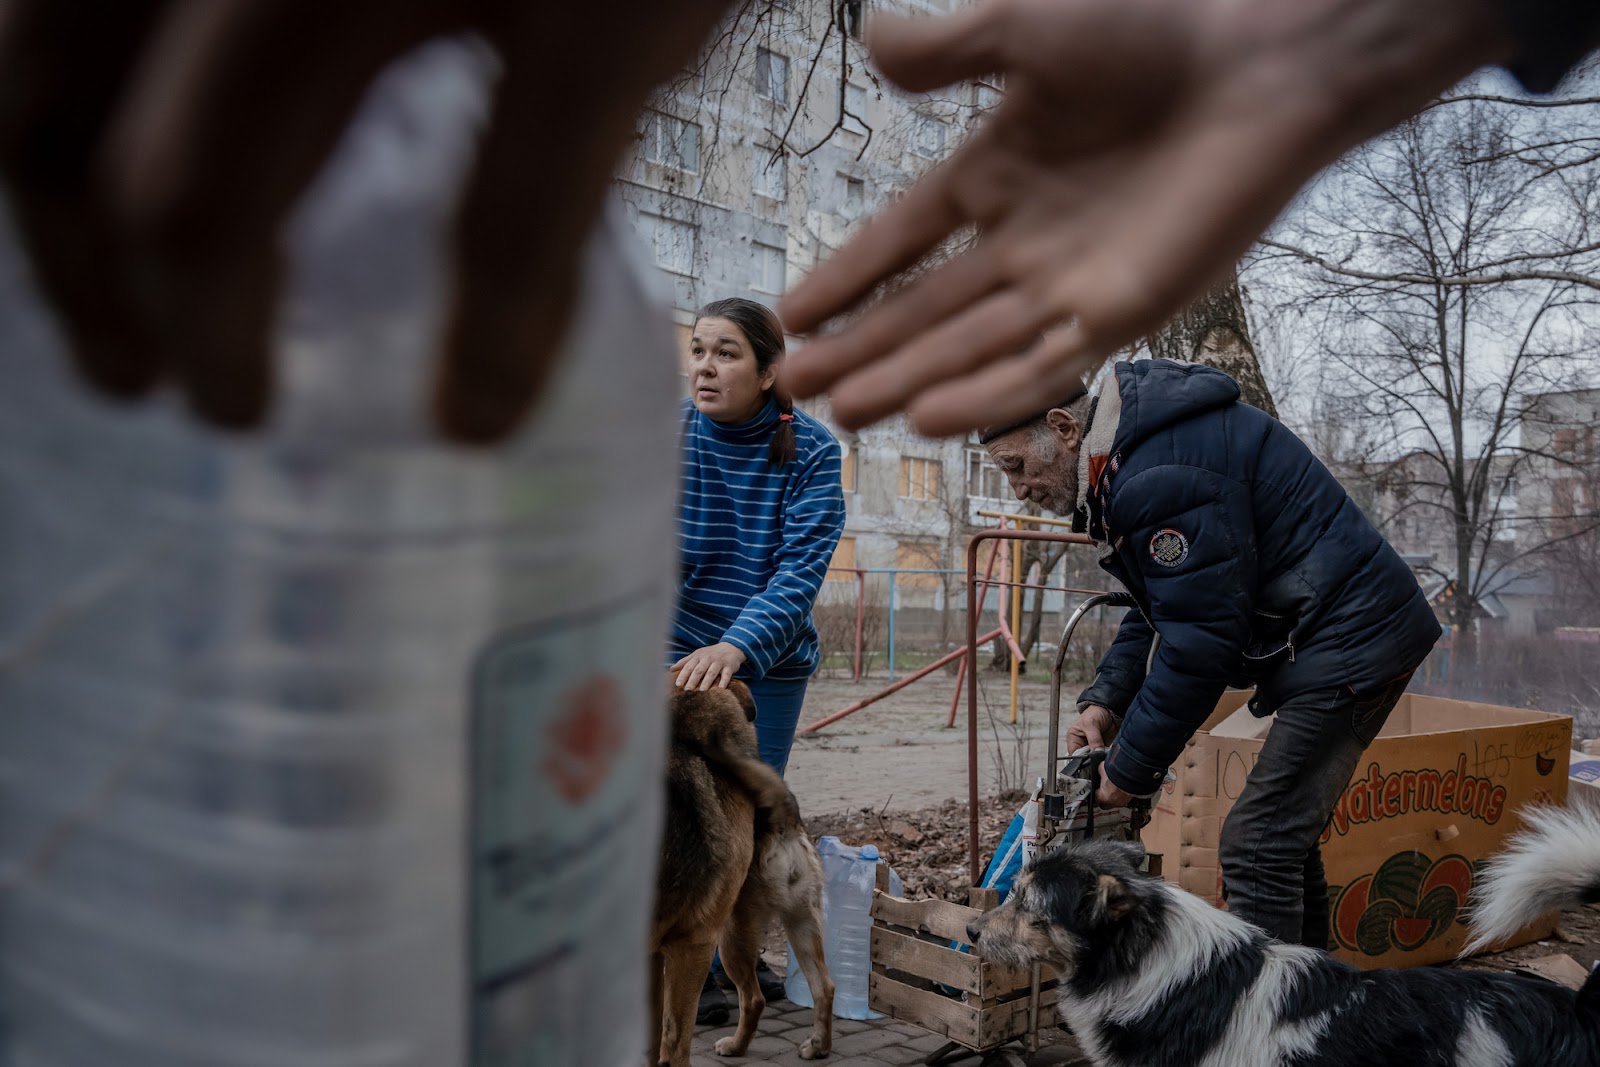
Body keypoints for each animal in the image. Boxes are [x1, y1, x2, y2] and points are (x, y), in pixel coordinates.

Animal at [646, 681, 838, 1062]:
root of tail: (781, 819)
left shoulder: (689, 943)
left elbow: (672, 1040)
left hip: (728, 938)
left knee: (753, 998)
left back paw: (736, 1045)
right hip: (801, 921)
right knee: (823, 986)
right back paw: (817, 1046)